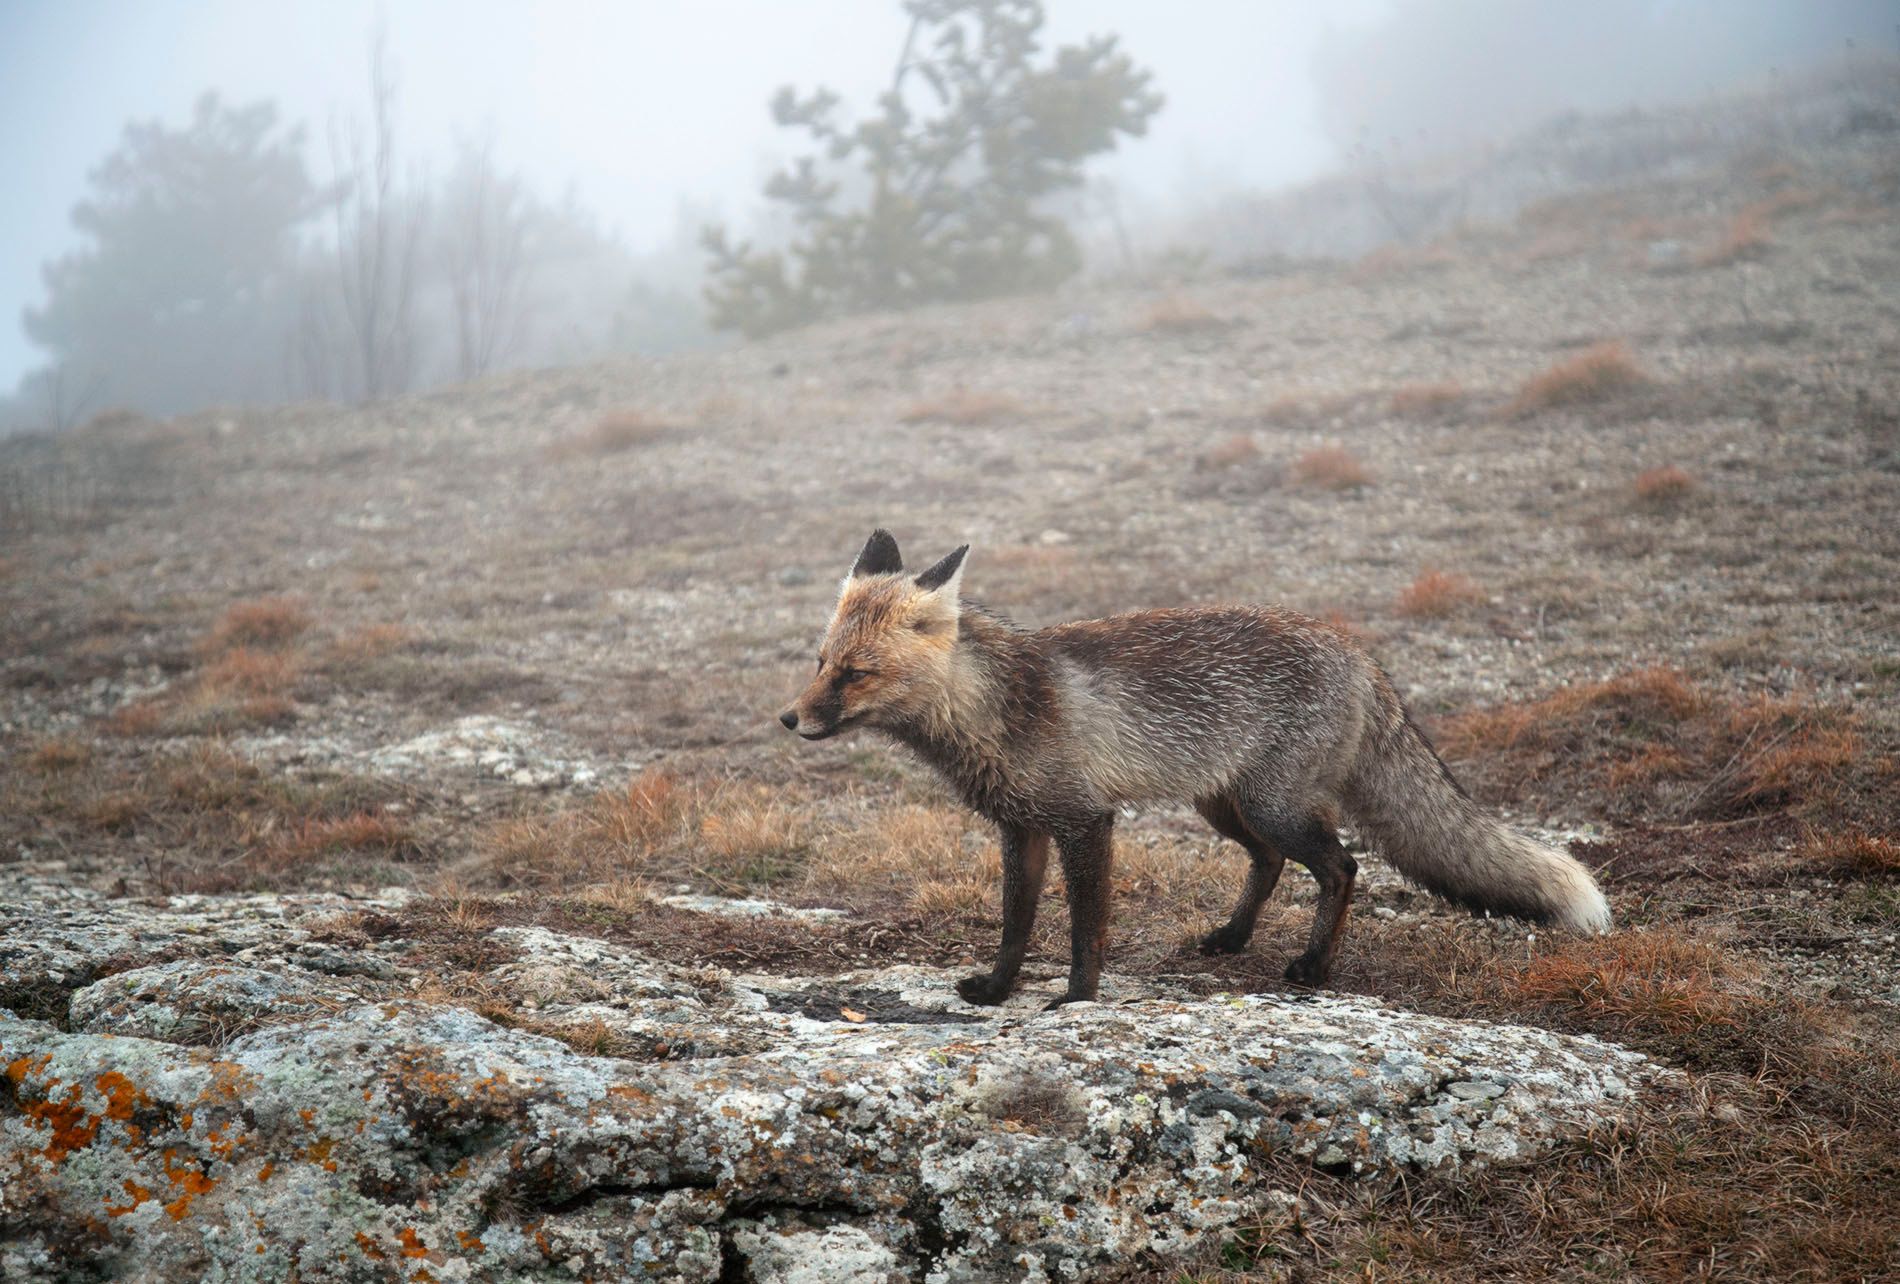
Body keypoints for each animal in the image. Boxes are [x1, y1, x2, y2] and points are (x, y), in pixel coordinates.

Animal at [779, 528, 1611, 1010]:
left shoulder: (1086, 821)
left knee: (1341, 866)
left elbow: (1085, 930)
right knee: (1270, 862)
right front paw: (996, 989)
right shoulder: (1021, 828)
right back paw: (1234, 939)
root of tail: (1359, 652)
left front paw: (1077, 1000)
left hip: (1272, 805)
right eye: (820, 664)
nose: (790, 720)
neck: (996, 709)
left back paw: (1313, 964)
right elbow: (1016, 924)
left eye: (855, 674)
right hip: (1222, 806)